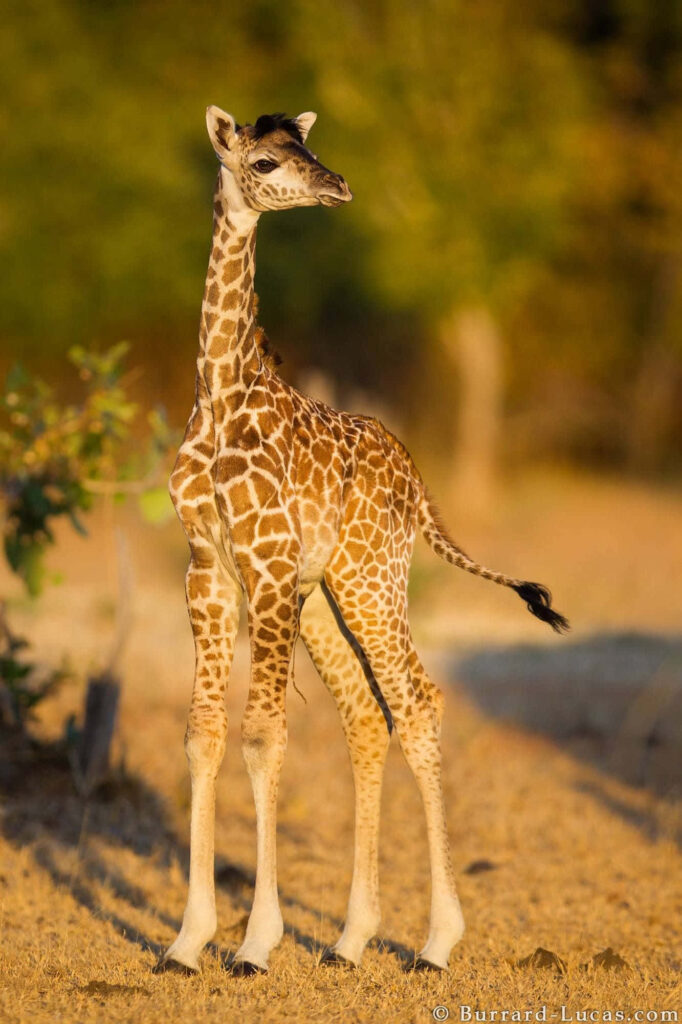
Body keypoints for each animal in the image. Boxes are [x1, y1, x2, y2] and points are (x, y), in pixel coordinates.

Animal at [155, 106, 569, 978]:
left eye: (310, 148)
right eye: (267, 160)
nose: (338, 185)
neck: (220, 396)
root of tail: (419, 483)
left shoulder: (267, 564)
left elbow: (263, 738)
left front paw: (255, 943)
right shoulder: (208, 566)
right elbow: (204, 736)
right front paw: (186, 940)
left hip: (374, 579)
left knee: (417, 703)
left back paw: (437, 942)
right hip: (327, 594)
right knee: (368, 719)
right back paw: (349, 940)